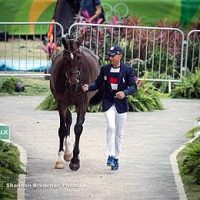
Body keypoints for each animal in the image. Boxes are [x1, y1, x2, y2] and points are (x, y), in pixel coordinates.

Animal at [50, 35, 99, 170]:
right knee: (68, 119)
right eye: (66, 59)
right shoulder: (61, 103)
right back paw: (67, 152)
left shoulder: (82, 104)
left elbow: (78, 128)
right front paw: (60, 158)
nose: (73, 84)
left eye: (79, 58)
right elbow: (62, 129)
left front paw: (75, 161)